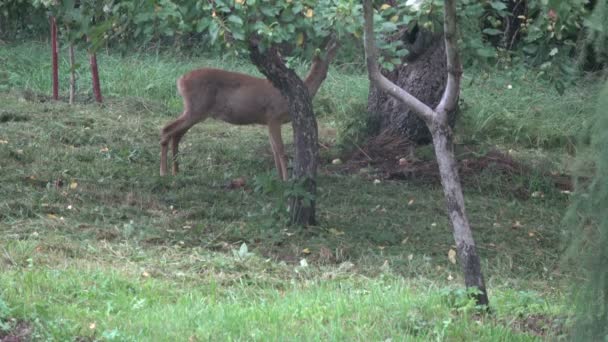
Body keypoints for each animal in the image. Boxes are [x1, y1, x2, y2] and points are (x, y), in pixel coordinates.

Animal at [159, 37, 340, 180]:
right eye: (326, 64)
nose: (327, 74)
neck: (288, 97)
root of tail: (180, 80)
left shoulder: (268, 121)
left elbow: (274, 150)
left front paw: (279, 178)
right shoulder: (274, 117)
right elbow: (280, 150)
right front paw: (287, 180)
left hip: (195, 110)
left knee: (177, 134)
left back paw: (176, 171)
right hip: (196, 108)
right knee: (167, 129)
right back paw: (163, 172)